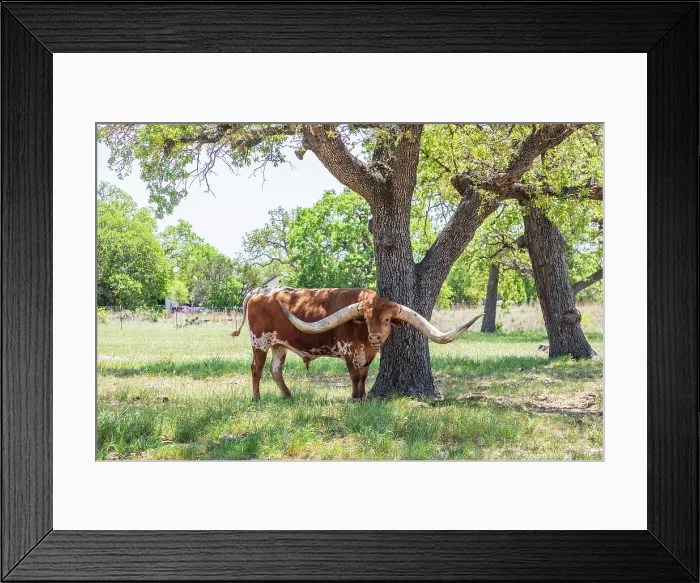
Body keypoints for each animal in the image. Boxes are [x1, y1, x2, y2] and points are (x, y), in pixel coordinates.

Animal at [230, 286, 483, 400]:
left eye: (388, 320)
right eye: (367, 319)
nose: (375, 337)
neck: (364, 338)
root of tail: (259, 291)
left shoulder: (368, 355)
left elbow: (363, 375)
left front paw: (362, 397)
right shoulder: (349, 352)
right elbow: (354, 376)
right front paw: (354, 398)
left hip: (278, 345)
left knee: (276, 370)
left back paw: (288, 396)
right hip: (260, 342)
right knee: (256, 369)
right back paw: (256, 398)